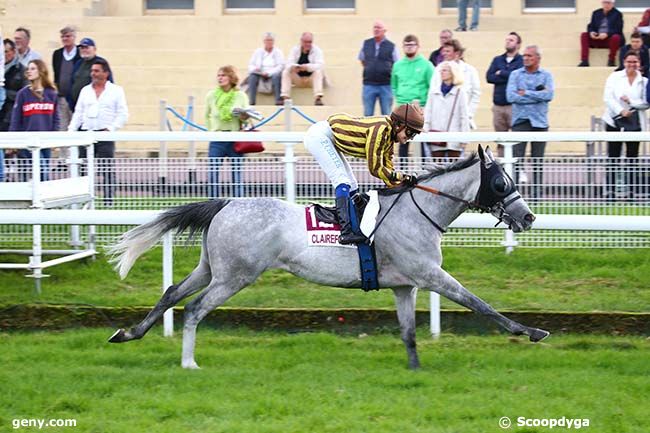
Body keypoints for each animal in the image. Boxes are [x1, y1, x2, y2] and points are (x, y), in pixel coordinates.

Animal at [107, 145, 548, 368]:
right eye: (500, 181)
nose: (528, 216)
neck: (419, 210)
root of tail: (226, 203)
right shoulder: (429, 275)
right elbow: (480, 304)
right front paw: (531, 331)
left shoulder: (404, 286)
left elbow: (408, 332)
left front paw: (415, 371)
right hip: (235, 276)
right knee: (195, 308)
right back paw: (188, 363)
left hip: (211, 268)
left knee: (171, 293)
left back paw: (127, 333)